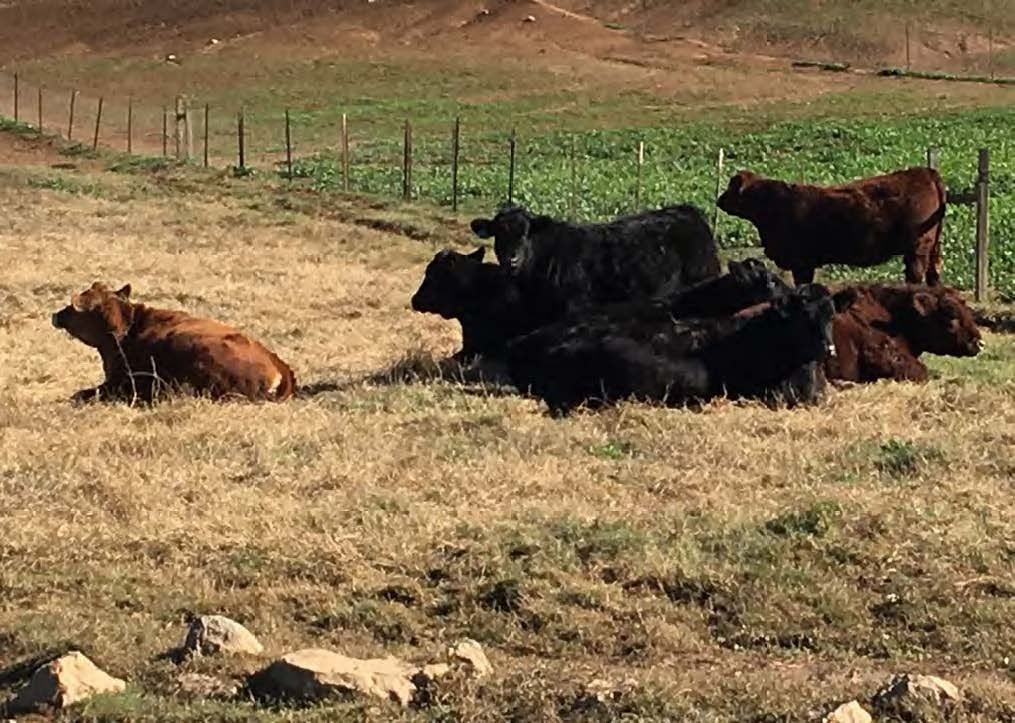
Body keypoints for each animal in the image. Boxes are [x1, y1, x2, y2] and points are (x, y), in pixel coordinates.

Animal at [716, 167, 946, 287]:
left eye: (730, 187)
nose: (718, 200)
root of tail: (926, 172)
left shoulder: (802, 263)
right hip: (933, 248)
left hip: (917, 249)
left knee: (915, 275)